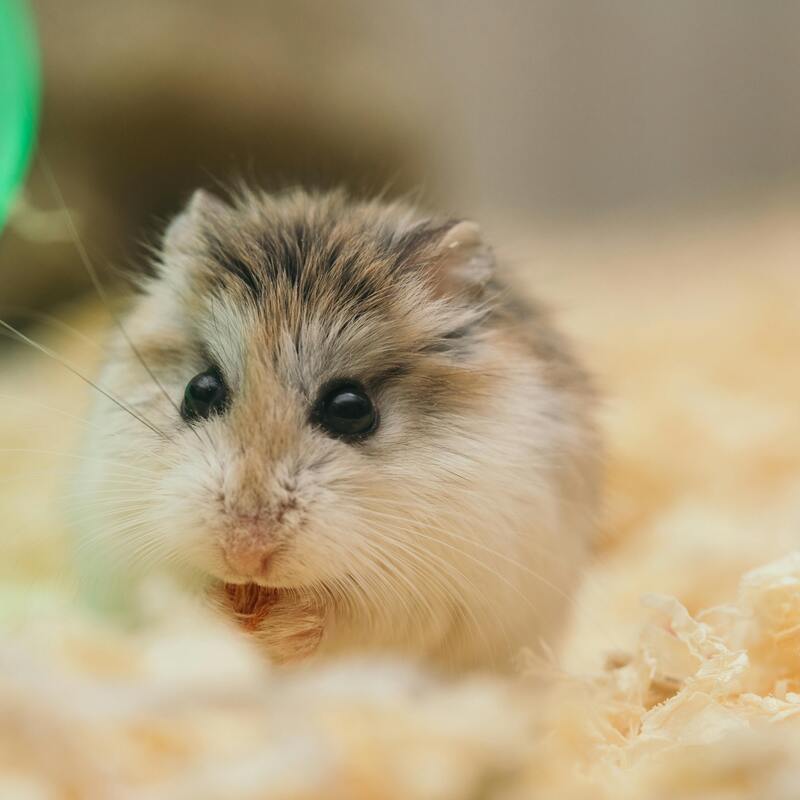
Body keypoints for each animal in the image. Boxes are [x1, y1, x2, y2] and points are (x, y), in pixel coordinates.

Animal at [74, 188, 598, 672]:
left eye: (351, 408)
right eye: (199, 390)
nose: (245, 556)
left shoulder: (427, 593)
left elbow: (343, 619)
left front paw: (278, 630)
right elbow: (173, 596)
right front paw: (225, 616)